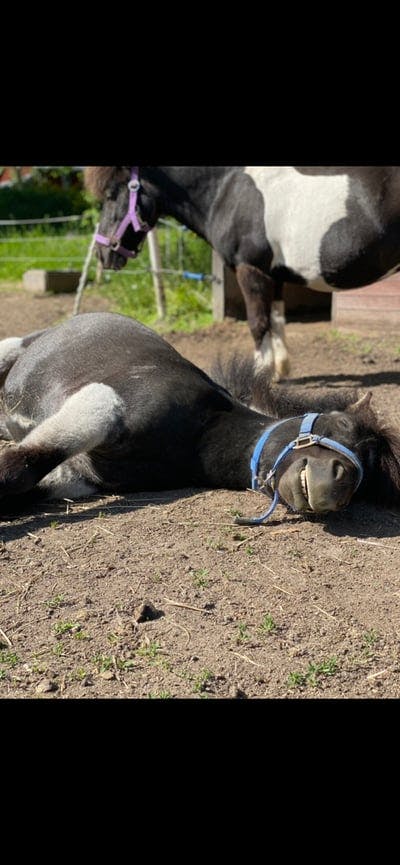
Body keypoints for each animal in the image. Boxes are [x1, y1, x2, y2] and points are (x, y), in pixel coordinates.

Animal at [85, 167, 400, 376]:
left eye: (111, 194)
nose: (102, 253)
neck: (226, 191)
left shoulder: (251, 270)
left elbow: (257, 323)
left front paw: (260, 377)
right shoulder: (275, 276)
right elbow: (276, 319)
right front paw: (280, 370)